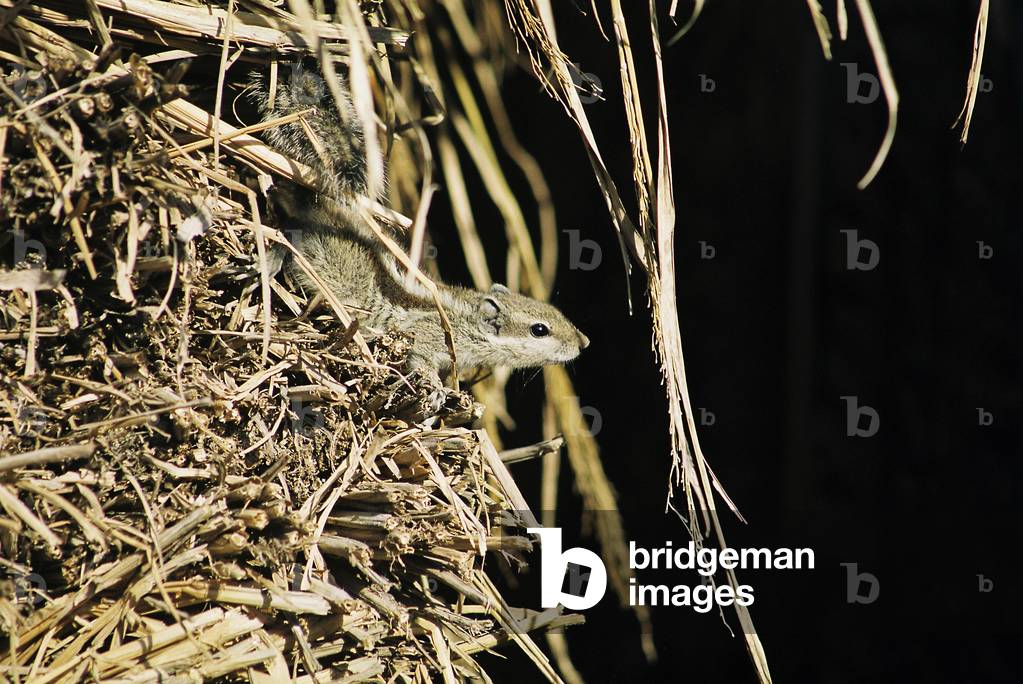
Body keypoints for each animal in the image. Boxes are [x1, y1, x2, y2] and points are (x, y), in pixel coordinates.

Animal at [247, 64, 589, 394]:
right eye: (539, 330)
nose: (583, 342)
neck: (466, 317)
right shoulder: (427, 335)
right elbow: (418, 356)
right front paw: (435, 387)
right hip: (311, 246)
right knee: (289, 233)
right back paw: (270, 259)